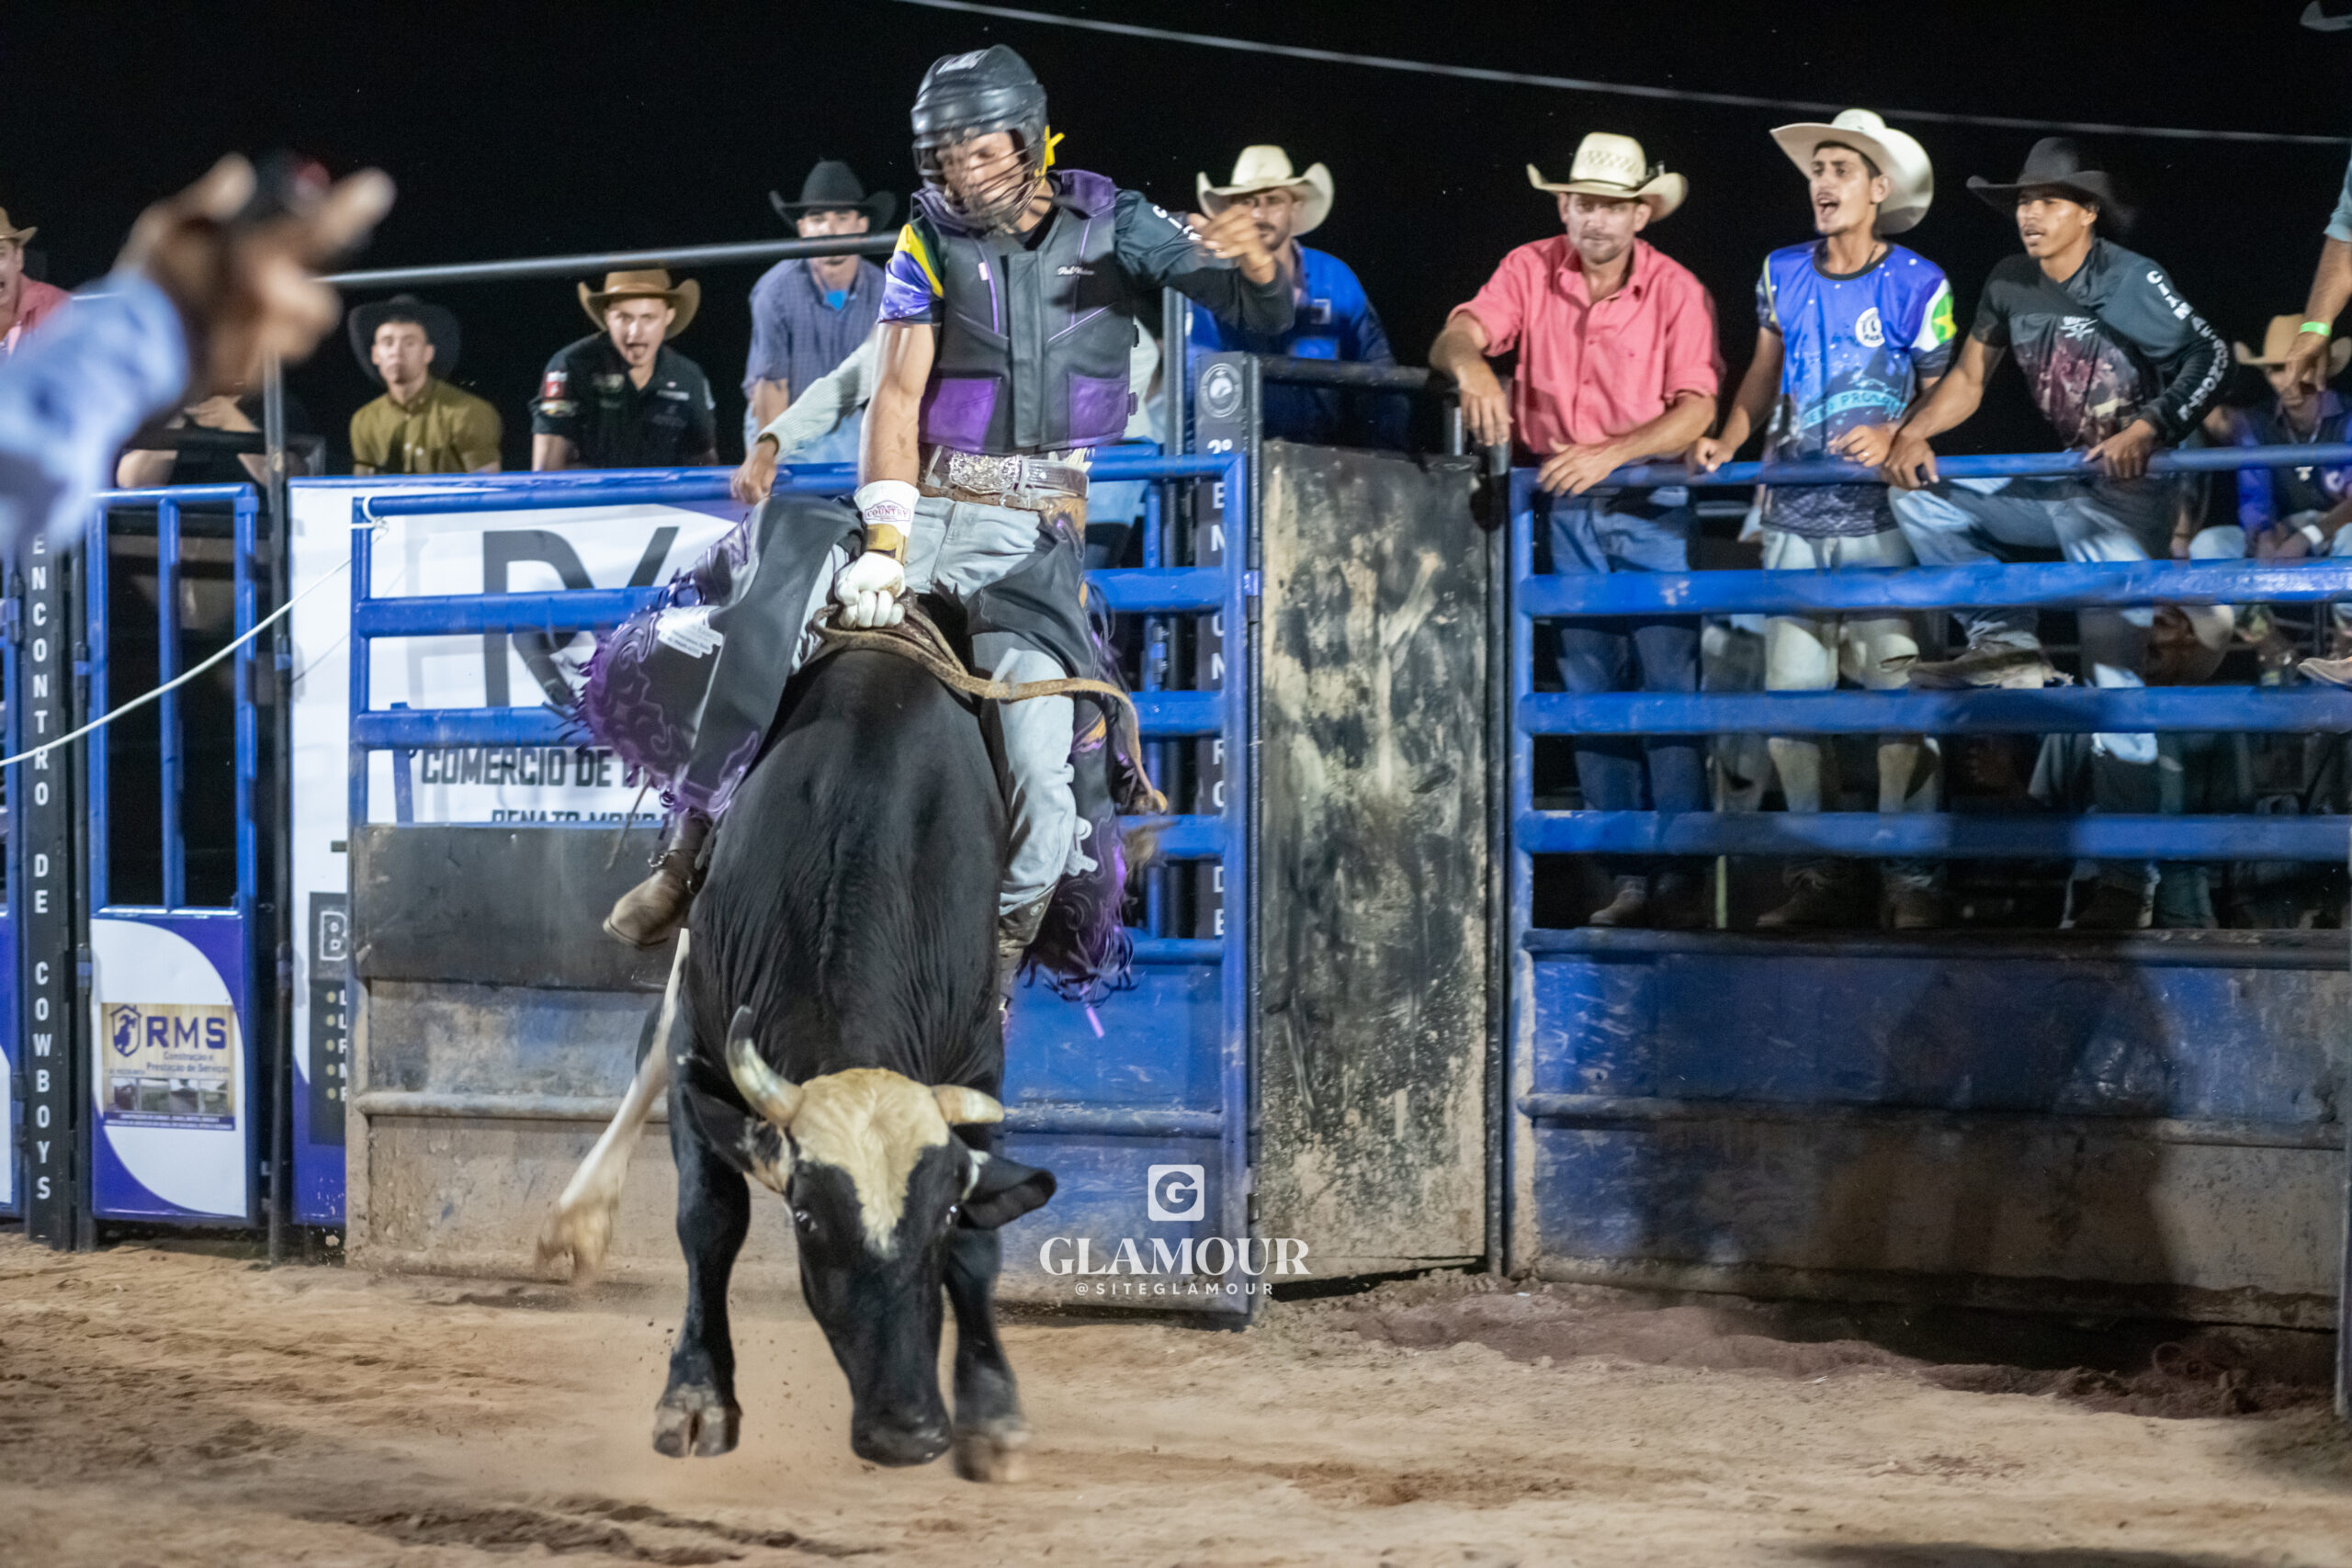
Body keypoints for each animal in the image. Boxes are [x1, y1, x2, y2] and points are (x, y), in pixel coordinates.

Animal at [648, 641, 1056, 1479]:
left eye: (943, 1215)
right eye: (807, 1216)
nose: (907, 1432)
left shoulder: (978, 1063)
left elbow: (979, 1248)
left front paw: (992, 1414)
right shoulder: (694, 1049)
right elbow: (708, 1218)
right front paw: (696, 1396)